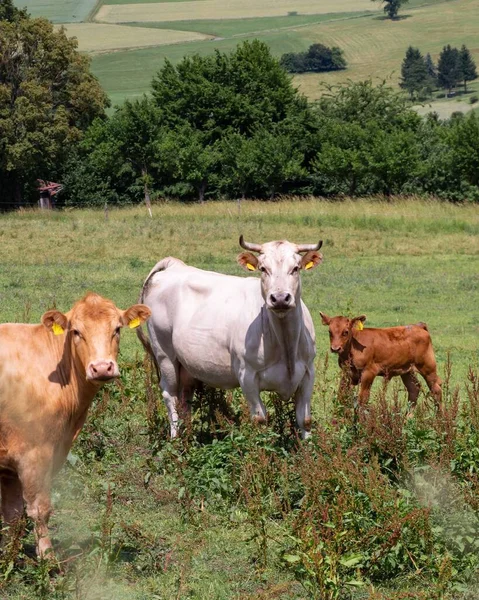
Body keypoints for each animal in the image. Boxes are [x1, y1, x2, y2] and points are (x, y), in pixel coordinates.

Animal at [0, 292, 150, 560]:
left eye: (117, 329)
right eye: (76, 332)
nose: (101, 367)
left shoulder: (10, 466)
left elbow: (11, 516)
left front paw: (7, 559)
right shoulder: (34, 454)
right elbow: (39, 509)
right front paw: (47, 560)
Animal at [138, 237, 322, 438]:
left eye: (296, 268)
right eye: (263, 268)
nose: (280, 298)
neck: (285, 342)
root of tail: (175, 265)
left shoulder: (308, 372)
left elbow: (305, 420)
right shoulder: (247, 375)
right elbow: (260, 420)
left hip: (186, 364)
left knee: (185, 398)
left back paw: (189, 439)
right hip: (164, 353)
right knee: (170, 395)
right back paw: (176, 439)